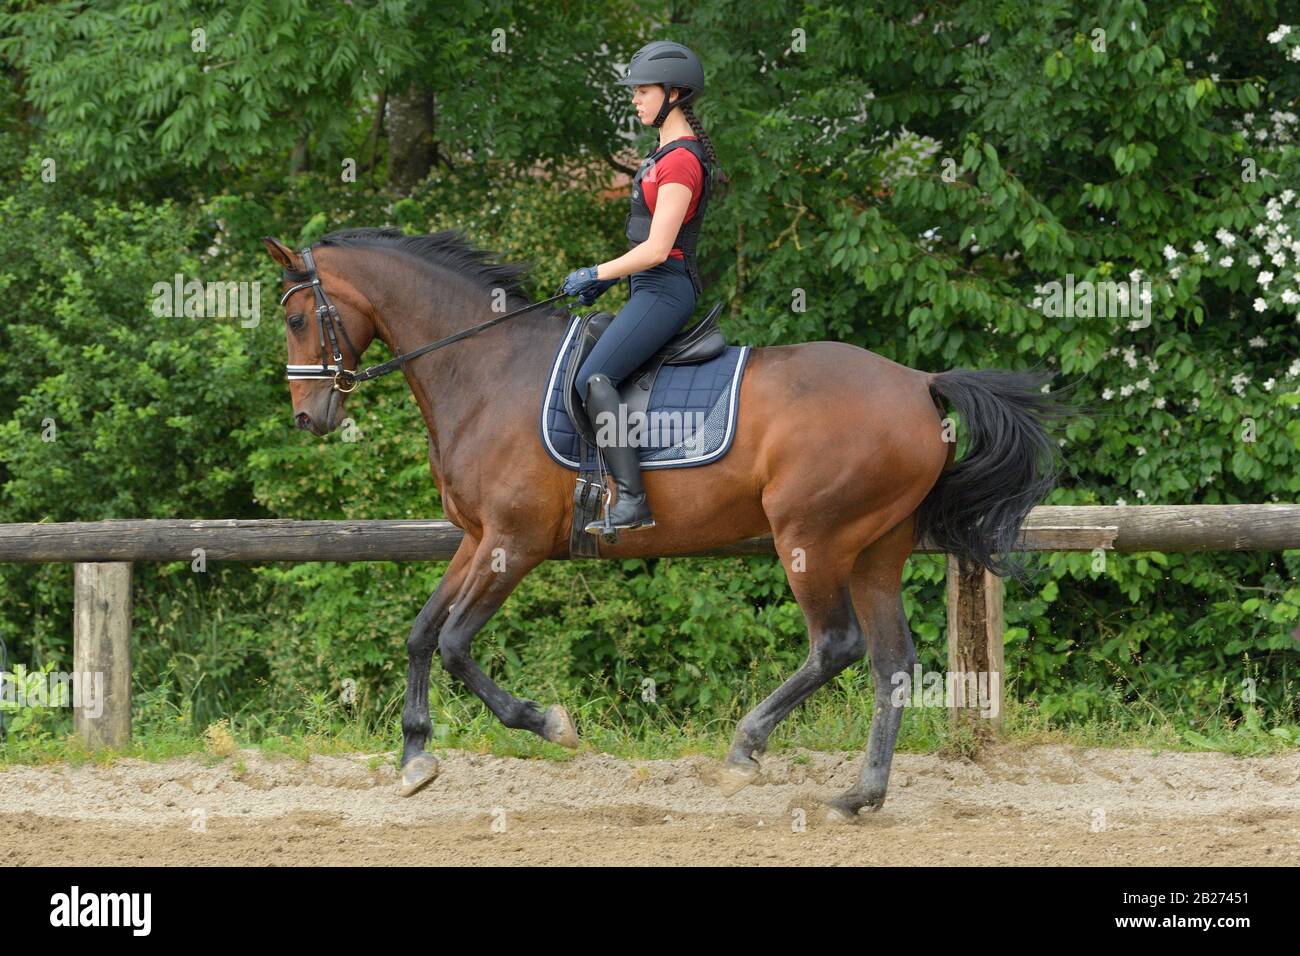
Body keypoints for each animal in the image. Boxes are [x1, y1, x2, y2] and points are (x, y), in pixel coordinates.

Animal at [262, 227, 1070, 822]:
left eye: (298, 319)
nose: (307, 418)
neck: (486, 371)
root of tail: (919, 383)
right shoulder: (476, 539)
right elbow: (421, 633)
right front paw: (414, 760)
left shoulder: (514, 545)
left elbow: (458, 645)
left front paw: (550, 725)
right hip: (875, 547)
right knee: (891, 661)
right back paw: (858, 796)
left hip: (811, 537)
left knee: (837, 645)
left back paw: (747, 750)